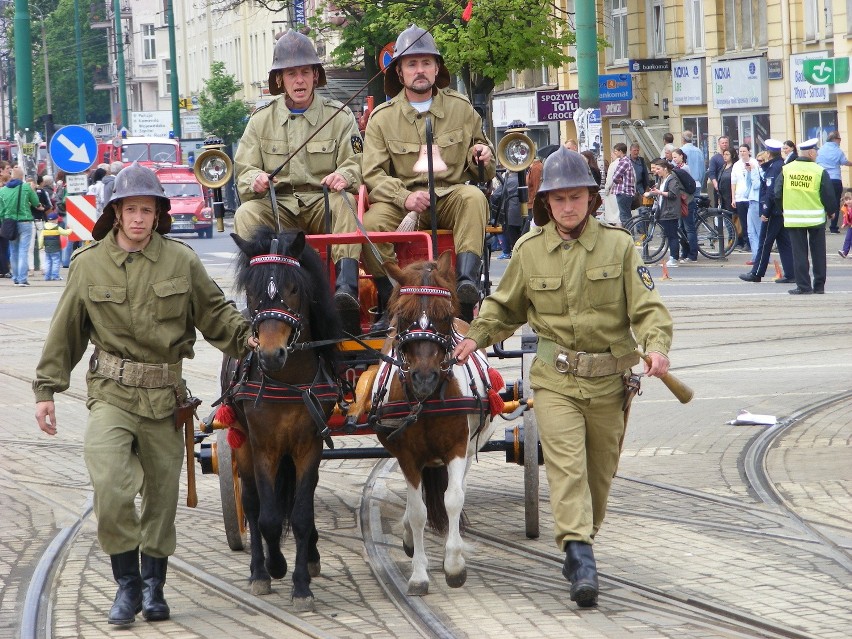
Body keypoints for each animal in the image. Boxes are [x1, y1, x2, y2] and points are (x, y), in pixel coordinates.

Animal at [223, 229, 342, 608]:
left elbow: (302, 514)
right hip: (241, 441)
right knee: (252, 503)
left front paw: (302, 586)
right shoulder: (264, 448)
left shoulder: (309, 446)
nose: (271, 354)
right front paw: (274, 568)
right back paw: (258, 569)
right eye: (253, 290)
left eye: (293, 288)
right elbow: (269, 518)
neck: (288, 380)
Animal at [370, 251, 502, 596]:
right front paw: (418, 575)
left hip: (468, 450)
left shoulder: (456, 447)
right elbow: (418, 512)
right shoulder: (407, 456)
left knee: (458, 488)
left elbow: (453, 499)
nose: (424, 378)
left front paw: (454, 565)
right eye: (403, 316)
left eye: (445, 314)